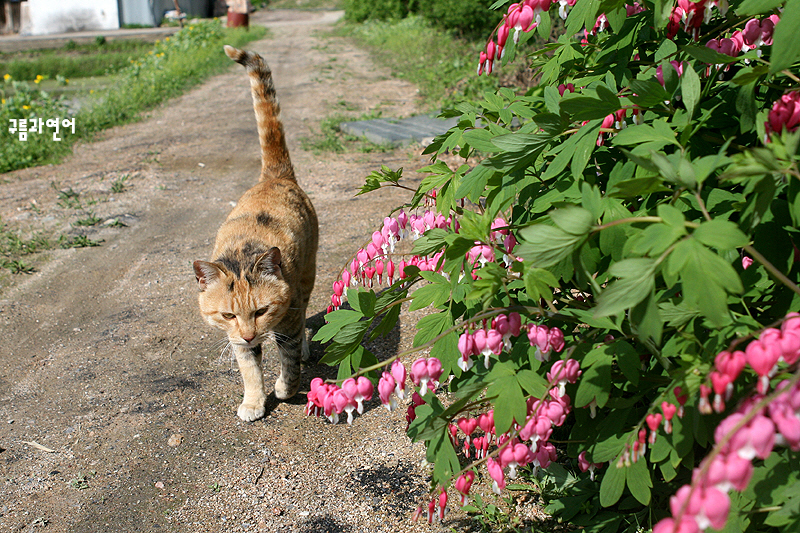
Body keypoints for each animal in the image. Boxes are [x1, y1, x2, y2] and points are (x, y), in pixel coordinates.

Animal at [192, 45, 318, 420]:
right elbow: (249, 369)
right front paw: (253, 402)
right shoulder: (236, 339)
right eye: (228, 315)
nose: (250, 335)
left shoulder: (287, 317)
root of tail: (274, 176)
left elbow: (289, 360)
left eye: (261, 311)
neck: (241, 254)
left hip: (307, 274)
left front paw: (285, 388)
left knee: (304, 314)